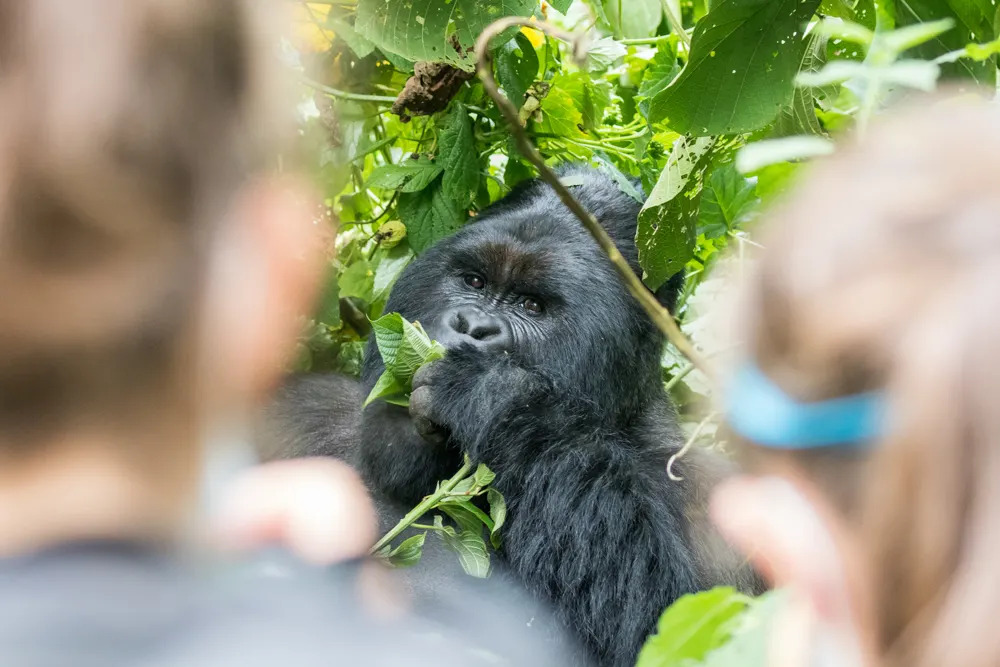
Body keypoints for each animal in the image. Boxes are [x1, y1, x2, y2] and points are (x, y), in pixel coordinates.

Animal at [262, 166, 760, 667]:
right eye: (474, 282)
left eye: (531, 306)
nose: (471, 325)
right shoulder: (304, 406)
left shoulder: (716, 498)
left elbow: (681, 632)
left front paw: (499, 397)